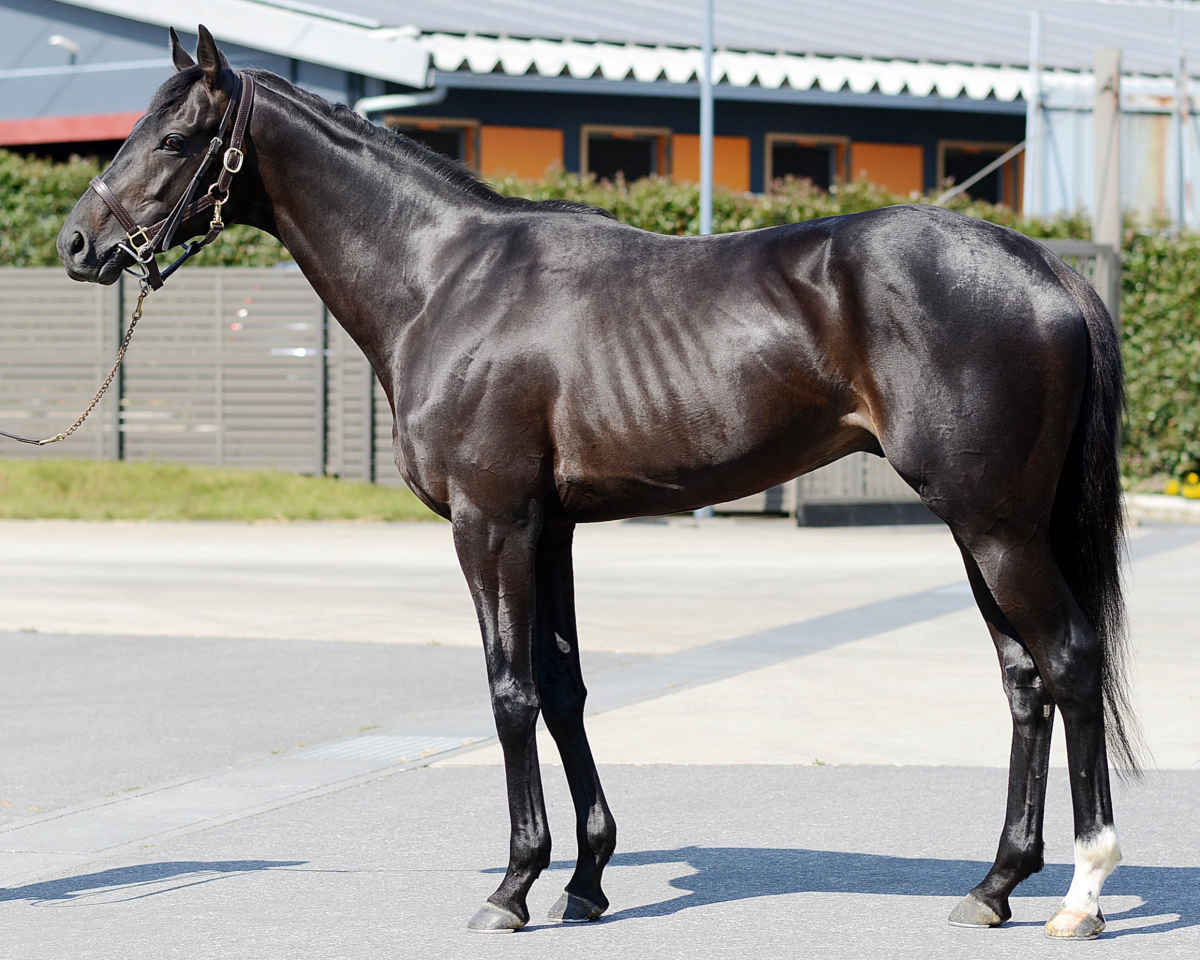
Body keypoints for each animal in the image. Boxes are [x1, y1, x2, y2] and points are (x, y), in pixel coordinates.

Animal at [57, 26, 1141, 939]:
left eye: (177, 137)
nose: (77, 244)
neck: (445, 279)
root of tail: (1047, 271)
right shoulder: (553, 528)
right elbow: (564, 688)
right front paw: (583, 880)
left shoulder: (490, 523)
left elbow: (509, 693)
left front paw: (511, 887)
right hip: (981, 527)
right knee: (1024, 680)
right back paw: (994, 884)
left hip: (995, 523)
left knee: (1070, 660)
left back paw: (1082, 893)